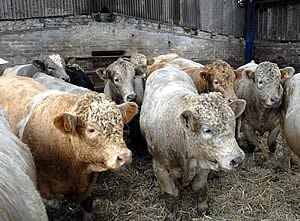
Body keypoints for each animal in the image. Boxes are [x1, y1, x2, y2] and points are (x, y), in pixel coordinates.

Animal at [139, 66, 245, 213]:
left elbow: (199, 186)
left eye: (233, 124)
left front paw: (202, 206)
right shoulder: (161, 167)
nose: (237, 159)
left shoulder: (205, 160)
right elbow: (171, 192)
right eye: (207, 130)